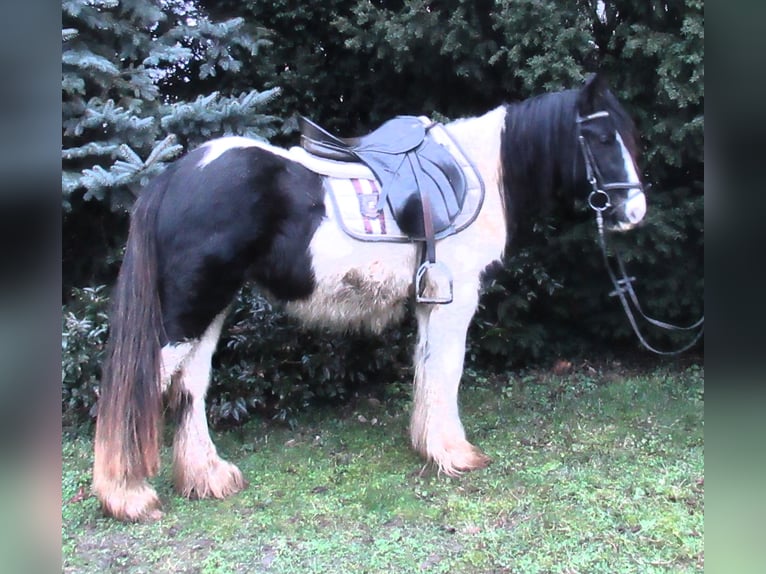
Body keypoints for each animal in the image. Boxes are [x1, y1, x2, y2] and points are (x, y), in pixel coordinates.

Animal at [94, 73, 648, 520]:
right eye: (601, 137)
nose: (635, 212)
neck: (479, 176)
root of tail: (172, 177)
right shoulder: (458, 297)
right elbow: (449, 370)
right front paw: (454, 453)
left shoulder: (431, 299)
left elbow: (428, 367)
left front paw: (430, 446)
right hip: (186, 308)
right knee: (143, 383)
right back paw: (127, 496)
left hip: (212, 306)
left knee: (191, 386)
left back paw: (206, 477)